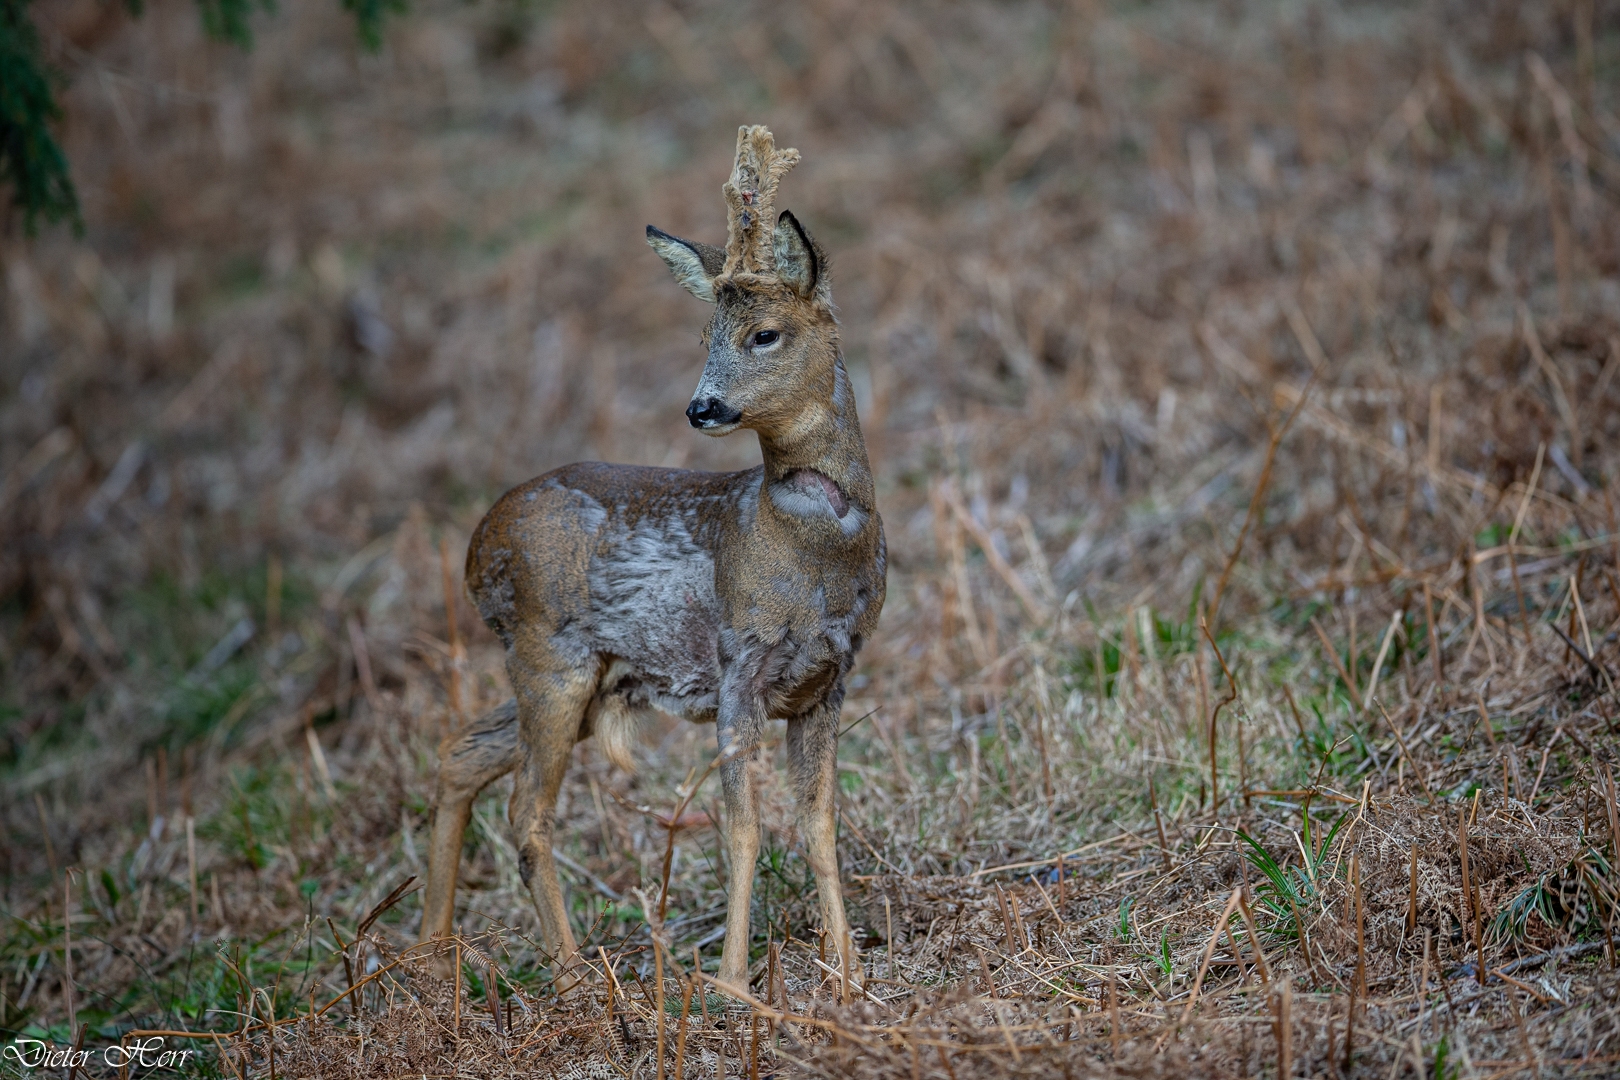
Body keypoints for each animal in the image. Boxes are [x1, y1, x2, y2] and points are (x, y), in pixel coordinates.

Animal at [421, 124, 887, 997]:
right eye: (705, 336)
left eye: (764, 333)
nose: (702, 406)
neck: (811, 556)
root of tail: (475, 546)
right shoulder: (740, 665)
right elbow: (743, 827)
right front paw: (734, 983)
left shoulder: (829, 678)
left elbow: (819, 821)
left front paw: (847, 970)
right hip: (551, 656)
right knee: (527, 812)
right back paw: (572, 973)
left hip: (591, 675)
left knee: (461, 752)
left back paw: (431, 954)